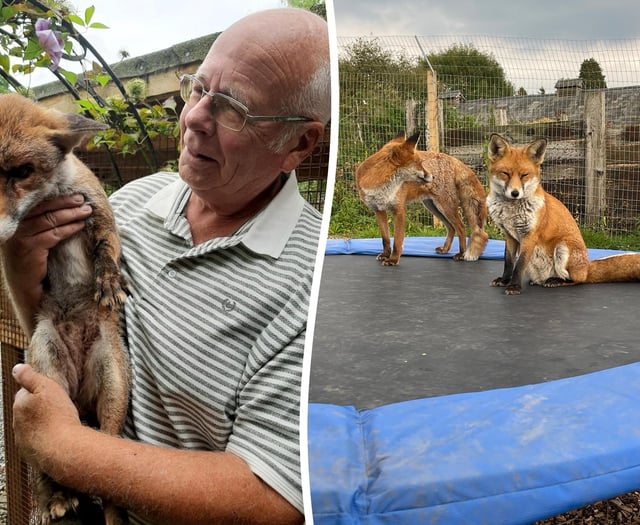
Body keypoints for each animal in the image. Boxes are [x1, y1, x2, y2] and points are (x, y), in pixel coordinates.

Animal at [0, 94, 130, 524]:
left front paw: (108, 280)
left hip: (113, 391)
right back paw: (52, 498)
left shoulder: (96, 206)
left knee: (107, 465)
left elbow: (107, 245)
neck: (52, 197)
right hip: (47, 369)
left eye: (22, 172)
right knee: (53, 465)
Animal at [356, 132, 488, 265]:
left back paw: (461, 254)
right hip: (433, 207)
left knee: (461, 227)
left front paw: (393, 259)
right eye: (419, 164)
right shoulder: (379, 210)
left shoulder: (399, 210)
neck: (378, 184)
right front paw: (385, 255)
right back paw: (445, 249)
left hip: (445, 206)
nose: (433, 176)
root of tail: (453, 159)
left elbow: (397, 241)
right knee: (451, 228)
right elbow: (385, 239)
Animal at [487, 133, 640, 295]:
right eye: (505, 174)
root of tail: (587, 268)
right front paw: (504, 280)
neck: (511, 210)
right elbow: (509, 262)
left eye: (524, 175)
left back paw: (556, 281)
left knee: (577, 280)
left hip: (563, 248)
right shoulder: (510, 235)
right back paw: (540, 281)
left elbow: (519, 265)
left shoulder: (529, 235)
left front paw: (514, 286)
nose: (515, 193)